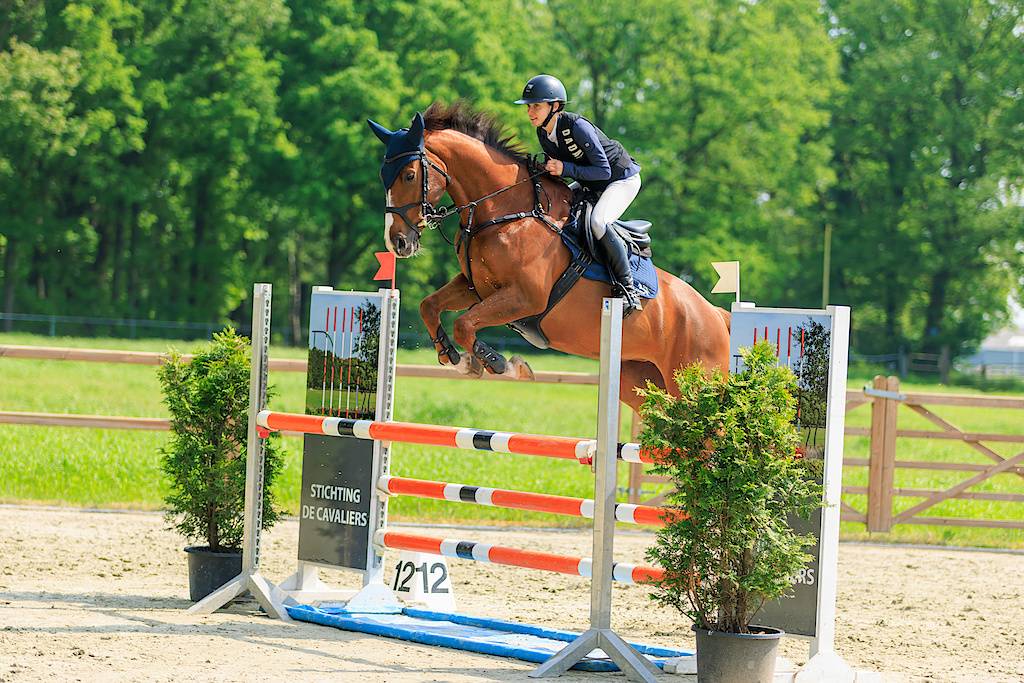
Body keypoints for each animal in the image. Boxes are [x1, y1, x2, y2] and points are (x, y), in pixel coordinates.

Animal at [368, 102, 730, 413]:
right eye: (383, 176)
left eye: (409, 175)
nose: (398, 242)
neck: (504, 211)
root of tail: (715, 314)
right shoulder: (476, 288)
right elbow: (430, 306)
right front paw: (454, 358)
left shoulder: (526, 297)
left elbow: (464, 323)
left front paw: (503, 365)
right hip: (638, 380)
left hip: (693, 380)